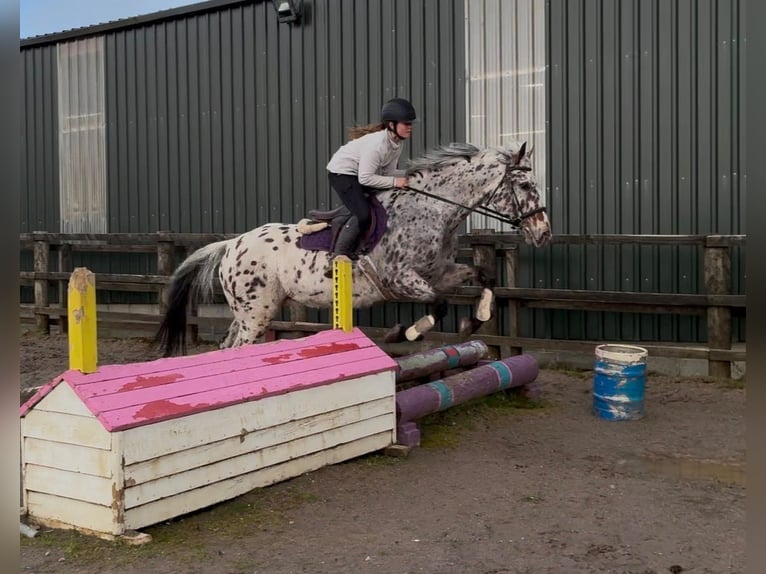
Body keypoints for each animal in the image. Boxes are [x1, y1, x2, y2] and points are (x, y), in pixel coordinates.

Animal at [156, 141, 552, 356]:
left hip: (249, 311)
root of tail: (230, 244)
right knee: (240, 348)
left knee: (228, 346)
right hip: (257, 312)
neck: (433, 209)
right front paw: (404, 333)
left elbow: (483, 276)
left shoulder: (439, 272)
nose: (544, 233)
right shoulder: (401, 280)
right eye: (524, 185)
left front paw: (477, 317)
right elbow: (438, 305)